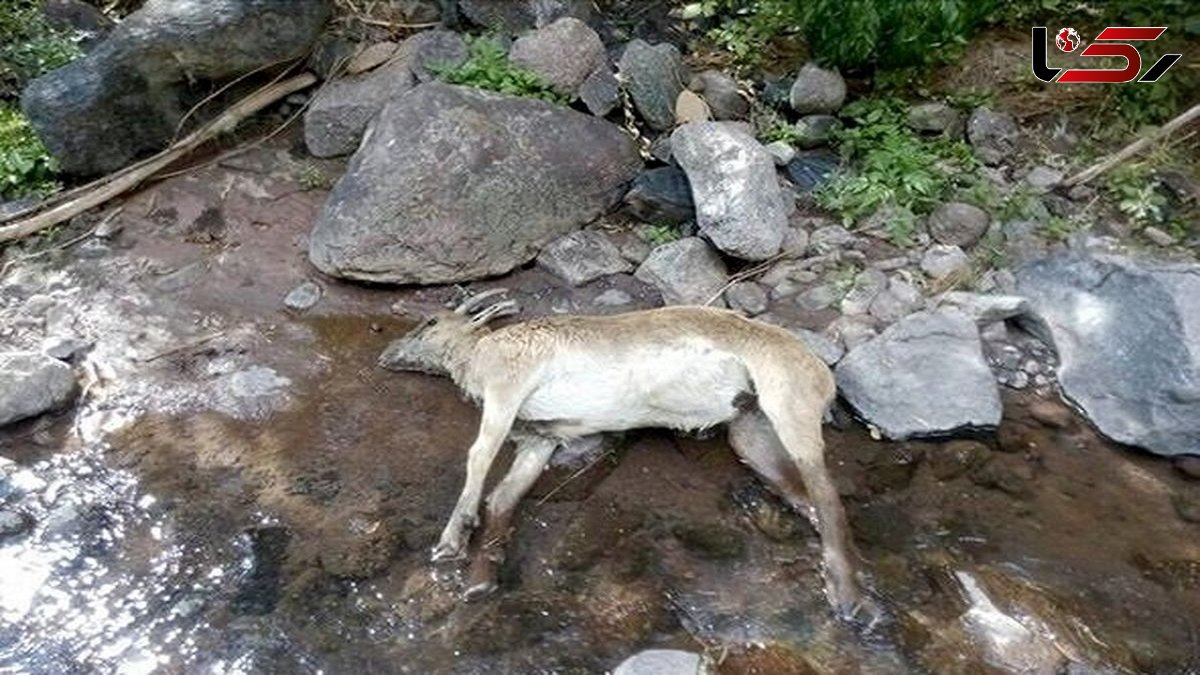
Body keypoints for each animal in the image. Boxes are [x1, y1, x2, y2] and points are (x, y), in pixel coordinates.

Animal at [381, 289, 873, 619]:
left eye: (430, 324)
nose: (387, 355)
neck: (478, 355)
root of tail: (822, 374)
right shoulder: (541, 439)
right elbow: (505, 496)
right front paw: (481, 581)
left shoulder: (508, 386)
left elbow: (479, 457)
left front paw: (450, 542)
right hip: (751, 429)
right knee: (806, 498)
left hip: (789, 404)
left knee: (827, 496)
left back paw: (845, 596)